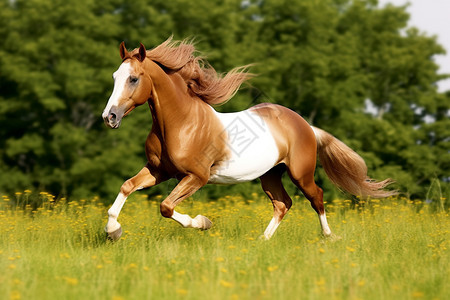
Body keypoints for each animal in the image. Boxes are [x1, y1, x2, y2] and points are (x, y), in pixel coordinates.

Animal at [102, 38, 394, 241]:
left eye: (133, 78)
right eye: (114, 76)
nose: (109, 117)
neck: (182, 123)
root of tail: (306, 125)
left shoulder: (196, 177)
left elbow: (165, 206)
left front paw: (203, 223)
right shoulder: (158, 170)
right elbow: (127, 187)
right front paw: (113, 230)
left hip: (300, 173)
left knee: (316, 198)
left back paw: (329, 236)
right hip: (270, 175)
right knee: (283, 204)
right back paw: (262, 240)